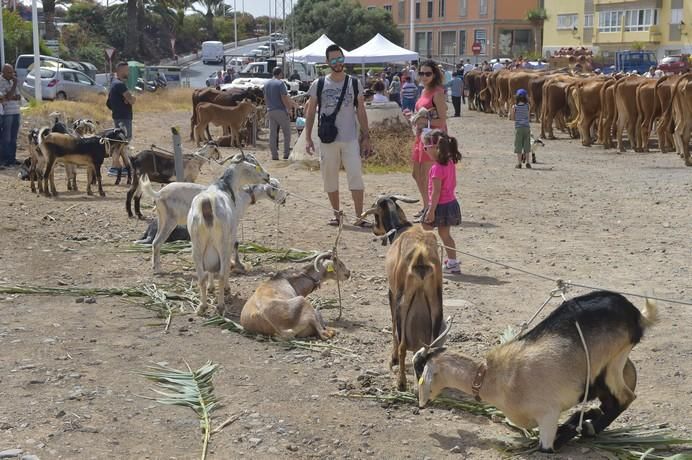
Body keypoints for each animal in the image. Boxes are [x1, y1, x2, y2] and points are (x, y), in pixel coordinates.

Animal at [139, 175, 286, 272]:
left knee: (155, 242)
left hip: (162, 219)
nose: (284, 200)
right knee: (157, 242)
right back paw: (158, 269)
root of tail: (158, 194)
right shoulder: (233, 223)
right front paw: (238, 265)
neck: (242, 196)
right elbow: (235, 243)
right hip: (171, 220)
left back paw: (155, 266)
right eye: (275, 187)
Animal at [188, 153, 272, 314]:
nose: (267, 176)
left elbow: (210, 269)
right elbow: (227, 262)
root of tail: (207, 203)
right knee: (221, 272)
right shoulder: (231, 236)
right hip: (221, 242)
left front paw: (211, 288)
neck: (224, 187)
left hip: (196, 245)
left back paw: (202, 306)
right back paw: (221, 305)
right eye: (253, 165)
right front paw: (226, 288)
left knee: (201, 276)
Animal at [414, 292, 656, 452]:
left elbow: (545, 448)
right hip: (607, 373)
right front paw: (579, 422)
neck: (491, 377)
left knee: (625, 398)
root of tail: (637, 315)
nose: (420, 405)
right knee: (610, 402)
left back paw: (589, 428)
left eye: (419, 370)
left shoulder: (548, 414)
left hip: (612, 364)